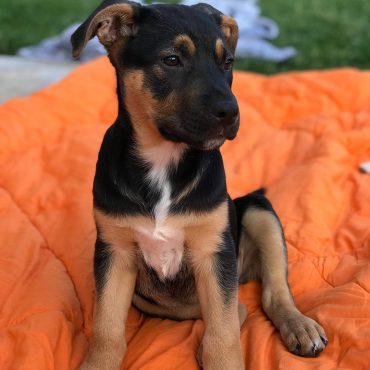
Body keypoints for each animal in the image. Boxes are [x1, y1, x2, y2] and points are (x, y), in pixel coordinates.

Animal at [71, 1, 326, 368]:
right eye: (171, 60)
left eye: (227, 62)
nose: (232, 113)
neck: (164, 160)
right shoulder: (114, 251)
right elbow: (106, 328)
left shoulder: (213, 253)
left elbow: (223, 333)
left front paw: (220, 356)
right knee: (238, 307)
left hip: (258, 210)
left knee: (271, 292)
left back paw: (300, 326)